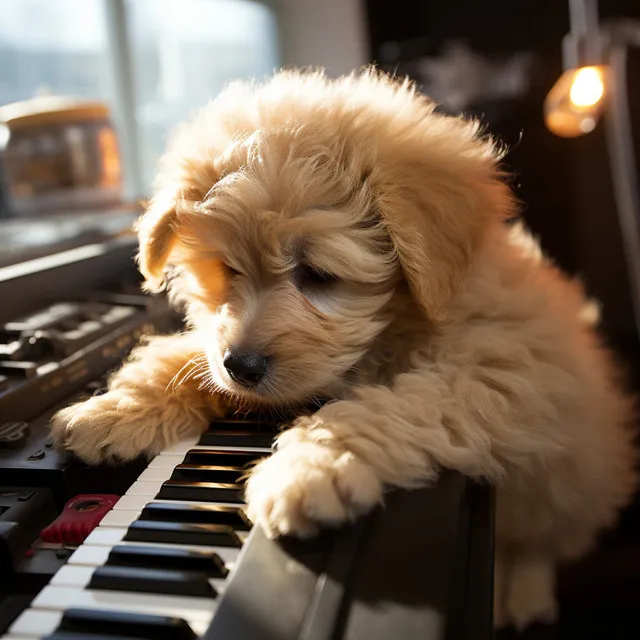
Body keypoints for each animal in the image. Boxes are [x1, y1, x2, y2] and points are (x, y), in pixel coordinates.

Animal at [52, 69, 636, 632]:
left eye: (318, 274)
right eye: (228, 270)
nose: (242, 367)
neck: (395, 327)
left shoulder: (504, 368)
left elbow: (402, 404)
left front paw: (310, 468)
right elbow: (187, 356)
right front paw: (112, 410)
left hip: (572, 477)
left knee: (542, 542)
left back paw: (521, 591)